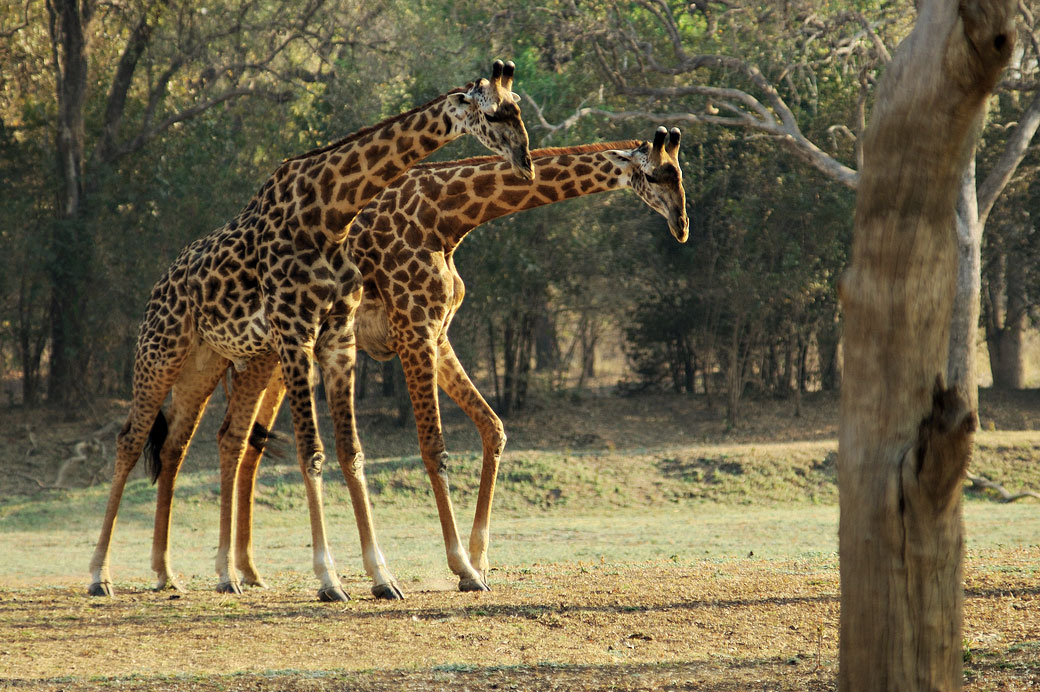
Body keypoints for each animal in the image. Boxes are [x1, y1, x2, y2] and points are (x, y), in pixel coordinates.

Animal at [87, 59, 536, 603]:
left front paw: (382, 578)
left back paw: (169, 573)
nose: (525, 161)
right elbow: (313, 453)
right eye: (492, 113)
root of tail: (160, 284)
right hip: (159, 349)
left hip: (204, 361)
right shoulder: (295, 332)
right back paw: (100, 576)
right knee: (130, 440)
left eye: (519, 107)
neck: (330, 211)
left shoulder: (338, 337)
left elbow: (352, 452)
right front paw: (329, 579)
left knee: (176, 443)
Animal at [209, 127, 690, 595]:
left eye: (680, 173)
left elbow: (493, 428)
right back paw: (228, 574)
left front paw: (480, 559)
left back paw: (250, 571)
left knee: (249, 444)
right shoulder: (413, 330)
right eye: (655, 175)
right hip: (264, 353)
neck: (445, 218)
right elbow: (434, 447)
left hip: (278, 357)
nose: (682, 226)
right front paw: (463, 567)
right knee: (233, 437)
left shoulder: (439, 334)